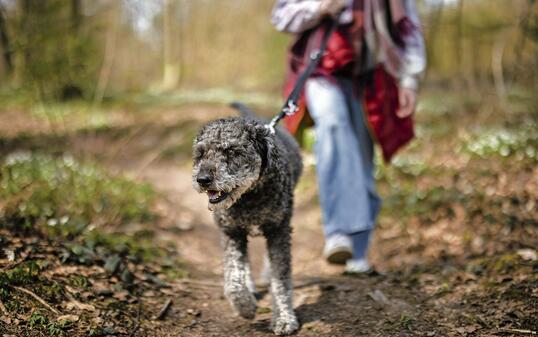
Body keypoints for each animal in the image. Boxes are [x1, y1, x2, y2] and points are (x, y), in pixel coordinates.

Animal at [192, 103, 302, 334]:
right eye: (201, 153)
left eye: (232, 151)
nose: (202, 179)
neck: (250, 196)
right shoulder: (231, 232)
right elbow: (233, 278)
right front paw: (245, 306)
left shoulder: (278, 230)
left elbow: (281, 279)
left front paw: (284, 318)